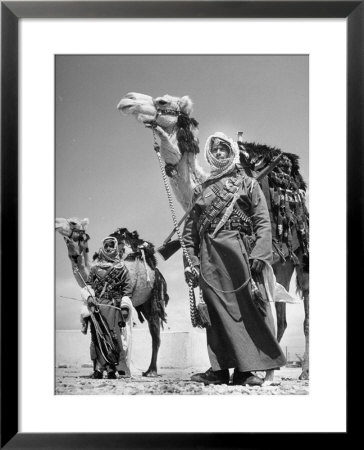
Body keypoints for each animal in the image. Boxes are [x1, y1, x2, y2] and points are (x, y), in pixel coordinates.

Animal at [55, 218, 169, 376]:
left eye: (73, 222)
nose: (56, 223)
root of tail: (156, 271)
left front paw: (125, 369)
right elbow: (95, 333)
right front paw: (96, 372)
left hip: (152, 296)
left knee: (155, 333)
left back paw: (151, 371)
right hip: (143, 303)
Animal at [117, 92, 310, 380]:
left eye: (163, 102)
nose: (127, 100)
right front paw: (214, 371)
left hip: (302, 256)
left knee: (304, 315)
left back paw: (300, 372)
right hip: (282, 263)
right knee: (282, 315)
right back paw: (267, 371)